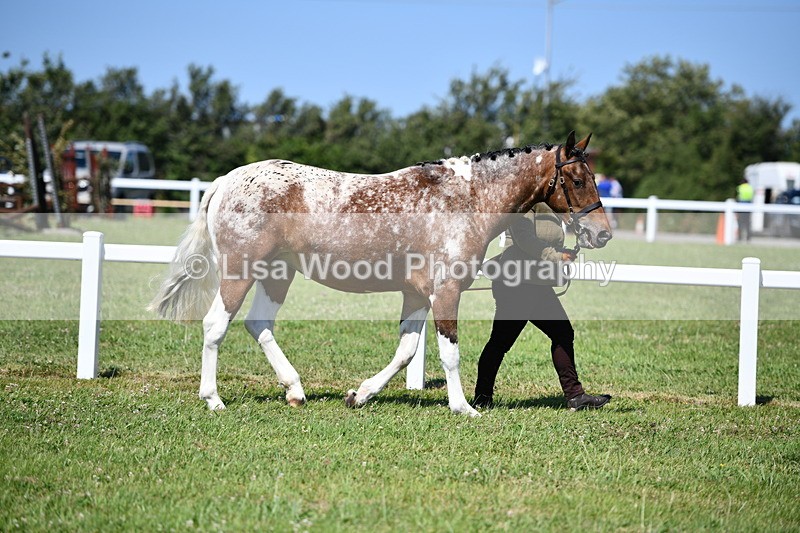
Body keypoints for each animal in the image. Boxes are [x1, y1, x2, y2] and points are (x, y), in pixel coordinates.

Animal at [150, 131, 611, 417]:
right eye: (576, 179)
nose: (602, 233)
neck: (466, 198)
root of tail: (226, 180)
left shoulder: (418, 295)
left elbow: (406, 350)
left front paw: (361, 394)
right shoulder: (446, 292)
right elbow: (450, 352)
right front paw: (463, 407)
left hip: (277, 273)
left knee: (259, 324)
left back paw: (295, 391)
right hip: (240, 272)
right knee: (216, 325)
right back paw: (213, 399)